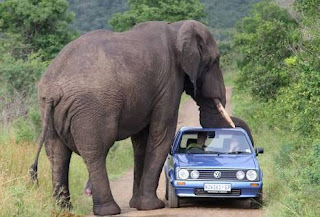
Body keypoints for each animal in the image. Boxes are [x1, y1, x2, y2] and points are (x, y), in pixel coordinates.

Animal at [29, 19, 235, 215]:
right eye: (215, 60)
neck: (176, 27)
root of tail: (53, 89)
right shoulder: (169, 83)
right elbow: (162, 134)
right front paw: (152, 206)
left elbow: (141, 141)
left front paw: (137, 205)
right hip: (91, 108)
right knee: (96, 151)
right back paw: (108, 211)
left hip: (47, 108)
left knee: (57, 154)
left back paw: (64, 209)